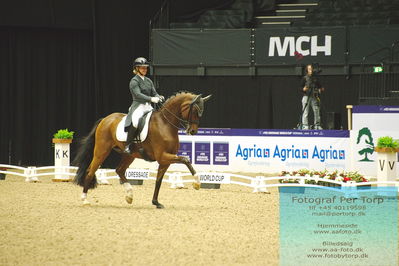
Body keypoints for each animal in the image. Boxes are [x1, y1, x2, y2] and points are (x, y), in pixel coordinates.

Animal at [73, 92, 211, 209]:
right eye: (195, 110)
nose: (193, 131)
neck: (165, 124)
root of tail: (105, 119)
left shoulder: (165, 160)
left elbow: (159, 180)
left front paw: (156, 202)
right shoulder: (162, 156)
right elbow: (186, 159)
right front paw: (197, 183)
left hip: (129, 155)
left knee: (119, 170)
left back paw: (129, 195)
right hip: (102, 151)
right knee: (90, 171)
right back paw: (85, 199)